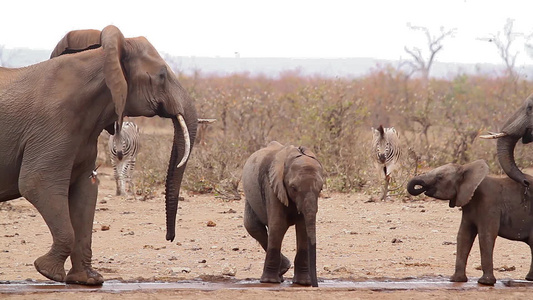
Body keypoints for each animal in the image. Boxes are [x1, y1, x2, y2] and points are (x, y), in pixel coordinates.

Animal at [0, 24, 196, 284]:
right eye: (162, 75)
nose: (169, 238)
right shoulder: (51, 127)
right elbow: (37, 183)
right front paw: (48, 271)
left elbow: (86, 191)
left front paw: (89, 280)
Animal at [242, 142, 324, 288]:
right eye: (293, 188)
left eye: (320, 189)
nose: (315, 285)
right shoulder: (272, 186)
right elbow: (278, 225)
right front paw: (269, 282)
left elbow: (303, 228)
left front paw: (303, 283)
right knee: (253, 227)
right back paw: (281, 272)